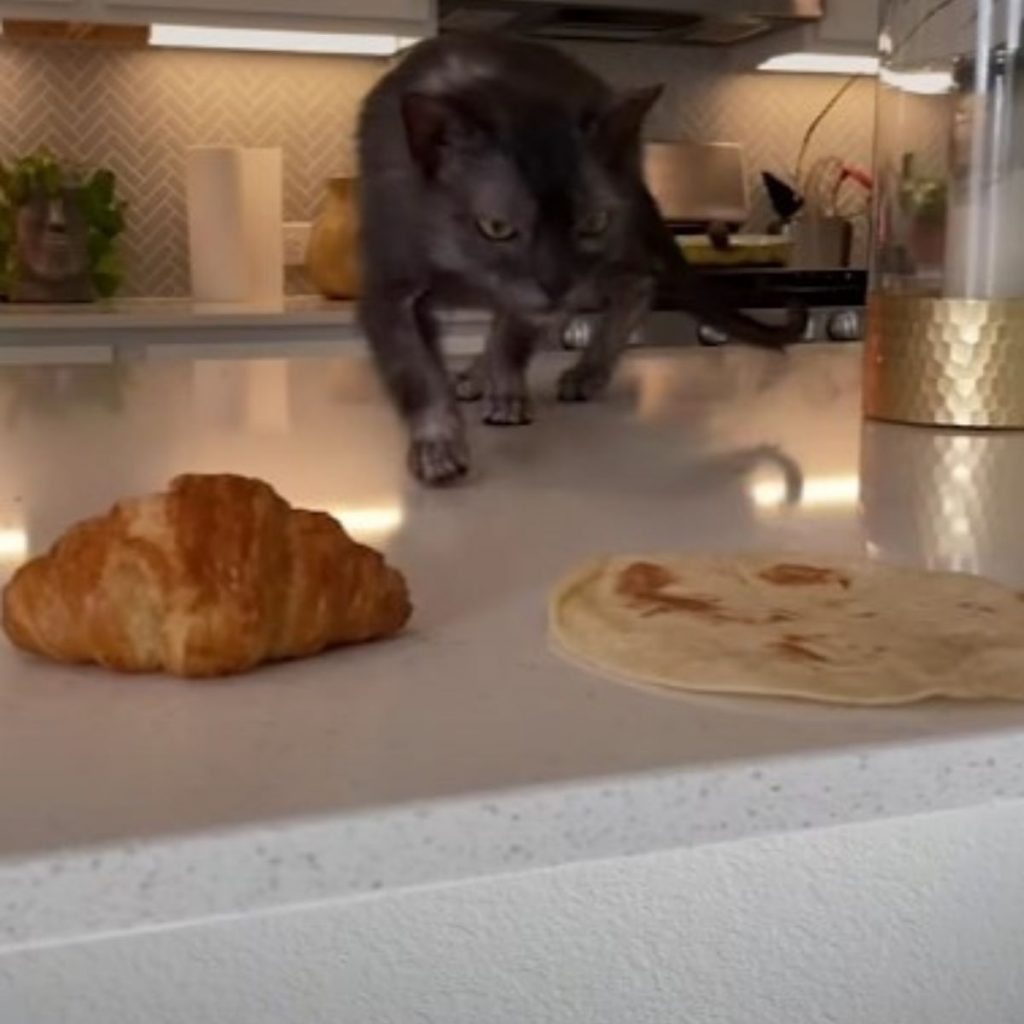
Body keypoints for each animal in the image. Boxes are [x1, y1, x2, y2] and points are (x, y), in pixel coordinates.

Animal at [360, 37, 798, 485]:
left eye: (592, 223)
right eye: (496, 227)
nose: (555, 283)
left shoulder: (544, 294)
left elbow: (511, 340)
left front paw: (508, 397)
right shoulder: (389, 293)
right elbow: (417, 373)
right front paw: (438, 445)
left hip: (608, 255)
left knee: (636, 285)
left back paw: (584, 375)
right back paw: (478, 378)